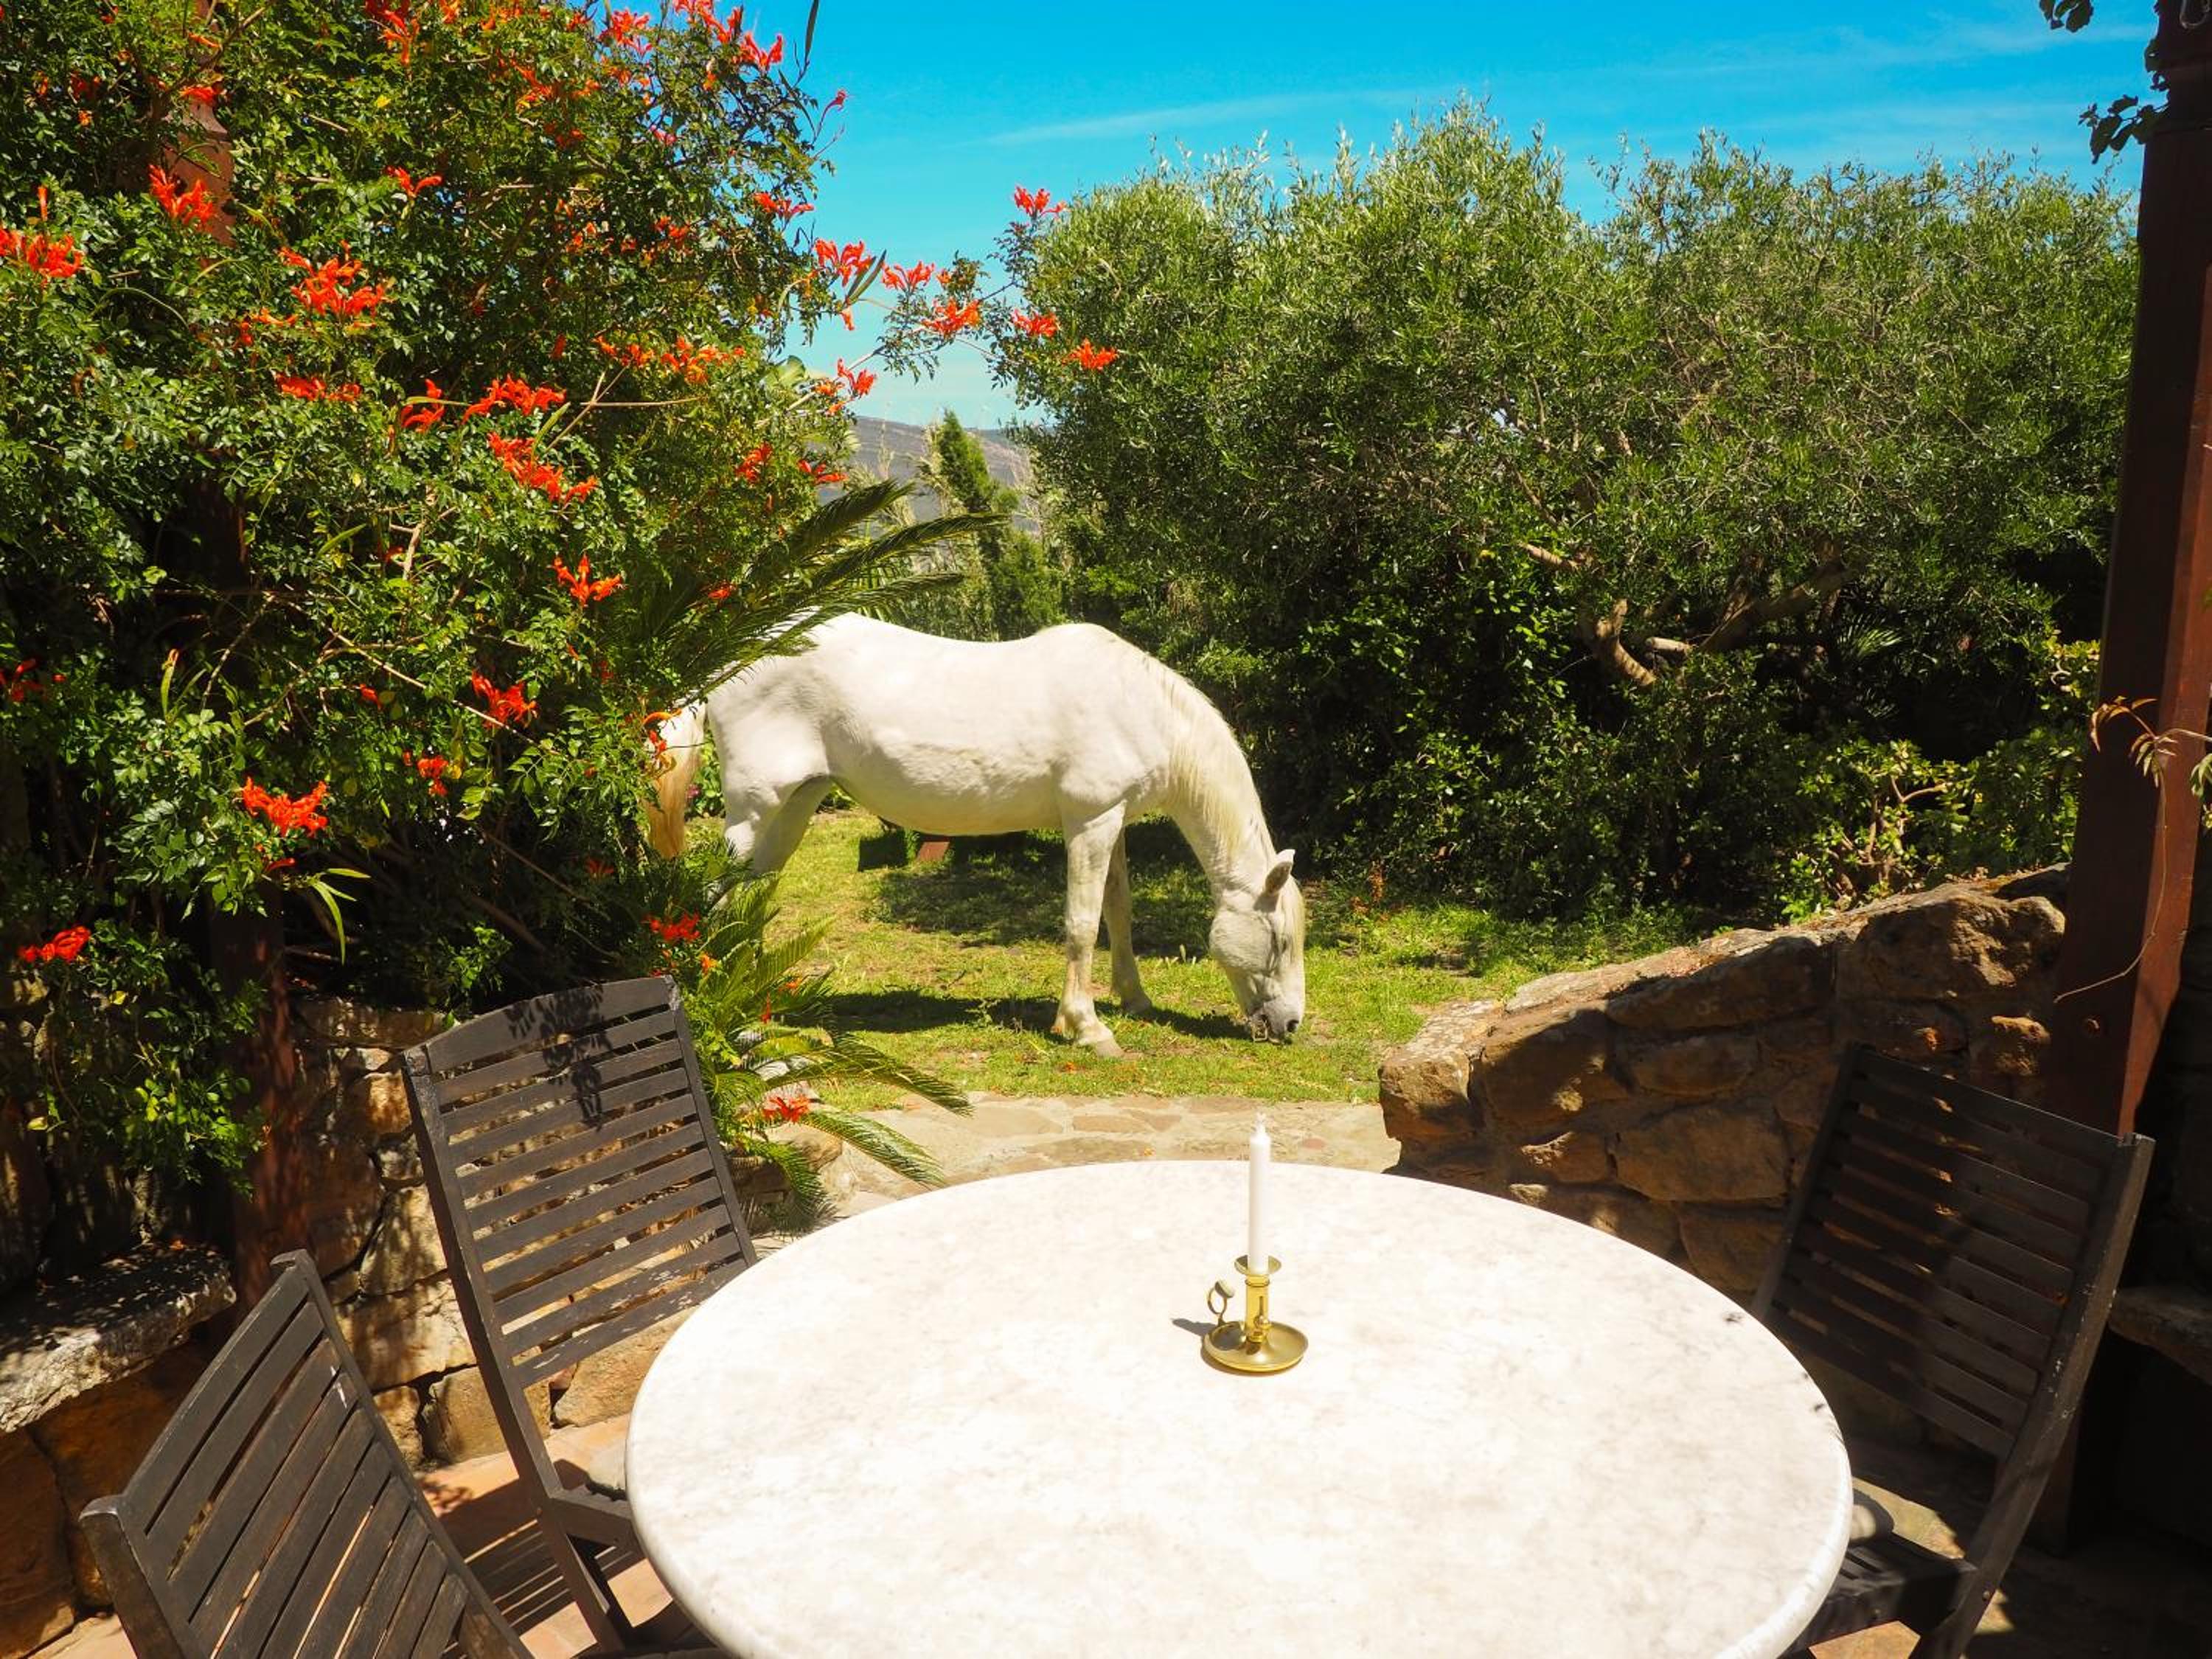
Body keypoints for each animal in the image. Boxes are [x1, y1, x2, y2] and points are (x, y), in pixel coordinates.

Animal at [644, 615, 1305, 1057]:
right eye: (1278, 941)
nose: (1291, 1025)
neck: (1135, 706)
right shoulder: (1090, 822)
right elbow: (1081, 924)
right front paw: (1087, 1027)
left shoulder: (1111, 823)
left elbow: (1118, 911)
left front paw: (1133, 999)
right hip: (754, 809)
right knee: (719, 898)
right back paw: (734, 1010)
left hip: (797, 804)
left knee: (754, 894)